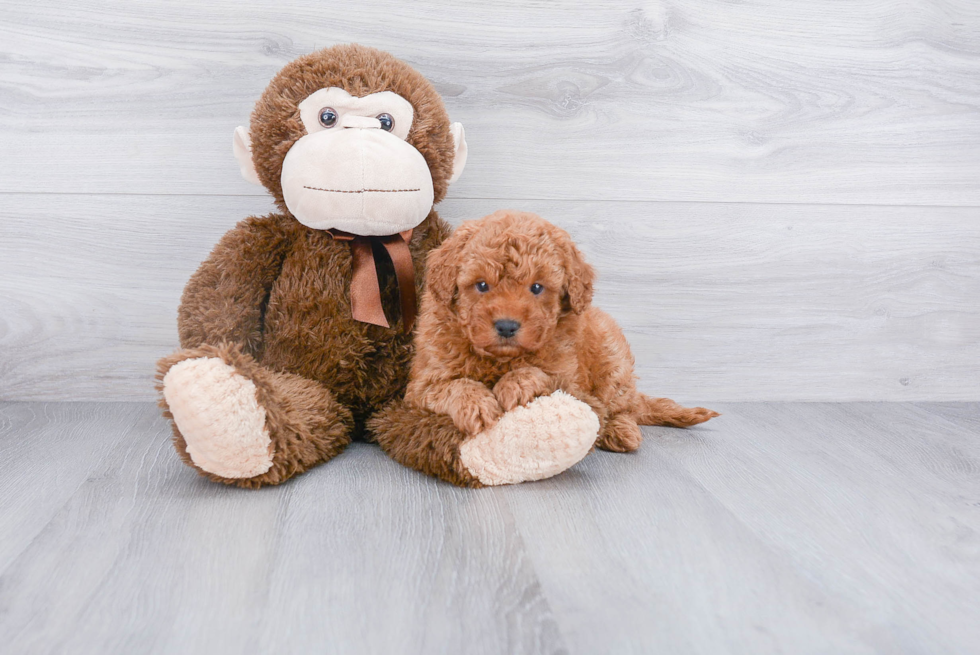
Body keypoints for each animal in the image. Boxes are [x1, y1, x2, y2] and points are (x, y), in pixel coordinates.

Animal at [402, 209, 716, 452]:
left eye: (536, 287)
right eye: (481, 285)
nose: (506, 325)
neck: (499, 360)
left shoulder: (571, 381)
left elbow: (542, 374)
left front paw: (515, 384)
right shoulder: (422, 384)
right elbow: (453, 385)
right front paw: (477, 404)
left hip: (613, 360)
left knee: (623, 407)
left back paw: (622, 431)